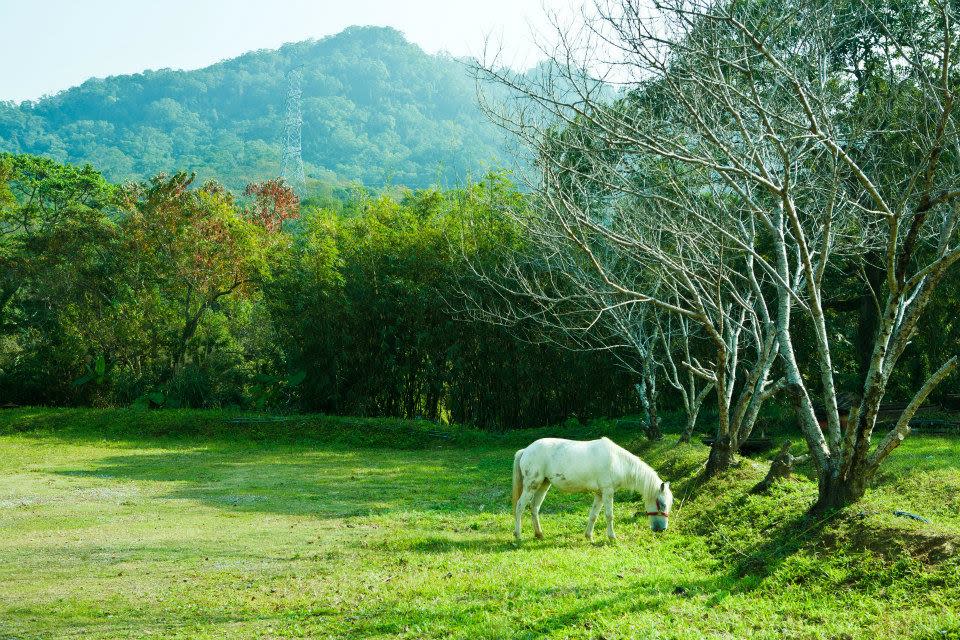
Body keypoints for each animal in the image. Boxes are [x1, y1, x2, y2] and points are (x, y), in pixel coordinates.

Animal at [510, 436, 676, 540]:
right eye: (661, 504)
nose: (661, 529)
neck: (617, 462)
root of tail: (525, 450)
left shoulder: (600, 494)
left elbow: (593, 515)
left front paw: (588, 536)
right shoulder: (608, 492)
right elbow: (609, 515)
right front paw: (612, 537)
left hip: (543, 485)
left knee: (534, 507)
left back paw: (539, 534)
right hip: (531, 485)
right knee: (520, 507)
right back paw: (518, 535)